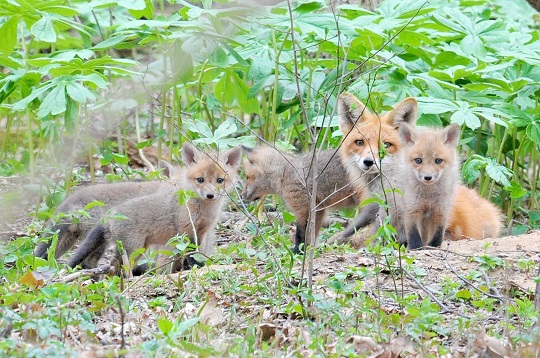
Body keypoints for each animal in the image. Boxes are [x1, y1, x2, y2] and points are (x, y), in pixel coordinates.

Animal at [67, 143, 240, 274]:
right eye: (200, 180)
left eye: (219, 180)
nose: (210, 195)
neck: (204, 211)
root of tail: (110, 216)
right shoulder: (187, 230)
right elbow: (190, 255)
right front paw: (194, 269)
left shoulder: (201, 232)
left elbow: (196, 254)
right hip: (133, 249)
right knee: (115, 268)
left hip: (137, 249)